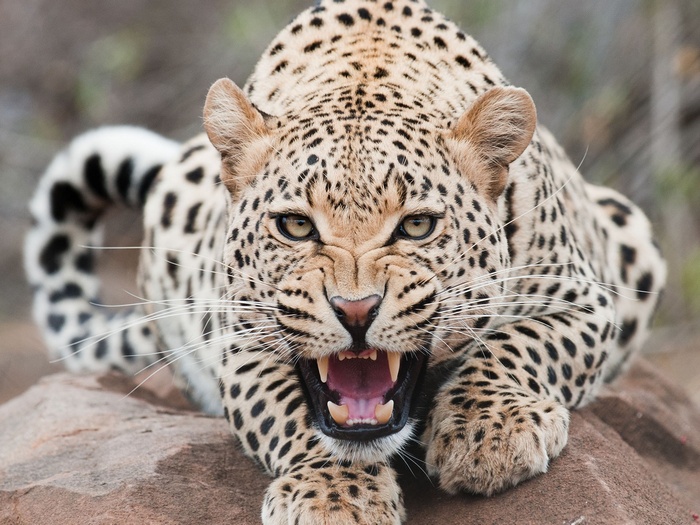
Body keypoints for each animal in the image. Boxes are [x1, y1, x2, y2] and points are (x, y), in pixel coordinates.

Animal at [25, 0, 666, 523]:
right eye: (295, 226)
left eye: (417, 226)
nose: (356, 311)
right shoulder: (241, 340)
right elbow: (290, 414)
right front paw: (333, 496)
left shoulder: (585, 300)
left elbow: (520, 345)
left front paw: (488, 436)